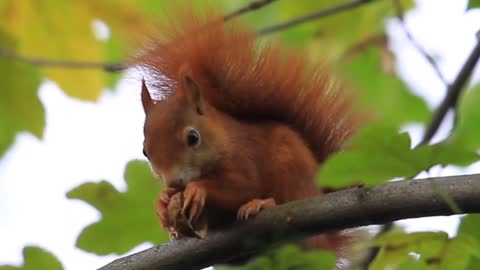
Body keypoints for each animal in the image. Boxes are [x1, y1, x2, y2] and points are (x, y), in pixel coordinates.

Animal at [135, 5, 360, 260]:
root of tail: (329, 243)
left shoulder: (245, 154)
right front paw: (163, 203)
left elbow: (246, 185)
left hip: (292, 167)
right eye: (145, 152)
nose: (174, 182)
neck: (223, 139)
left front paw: (198, 189)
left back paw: (263, 204)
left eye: (193, 138)